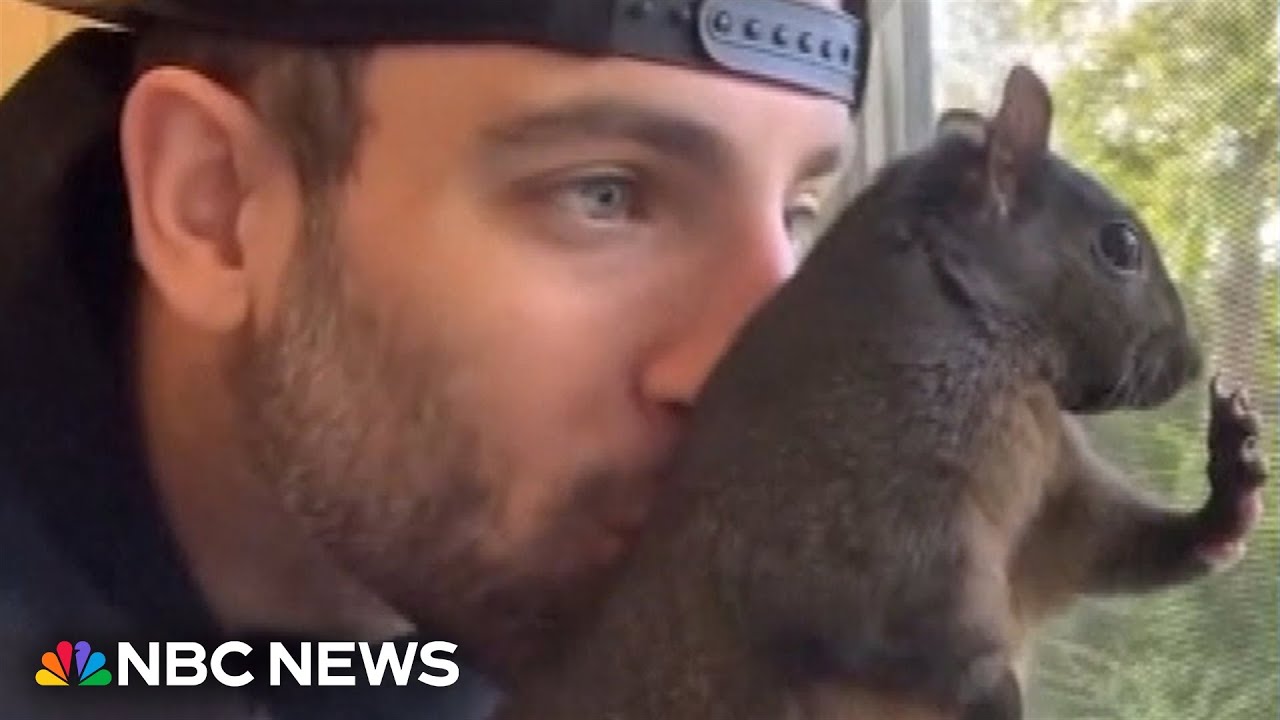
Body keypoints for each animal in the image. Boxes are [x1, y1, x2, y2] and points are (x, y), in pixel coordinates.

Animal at [491, 65, 1267, 720]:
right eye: (1121, 246)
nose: (1191, 362)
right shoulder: (867, 513)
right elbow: (902, 628)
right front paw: (998, 696)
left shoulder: (1052, 493)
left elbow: (1107, 539)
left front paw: (1231, 482)